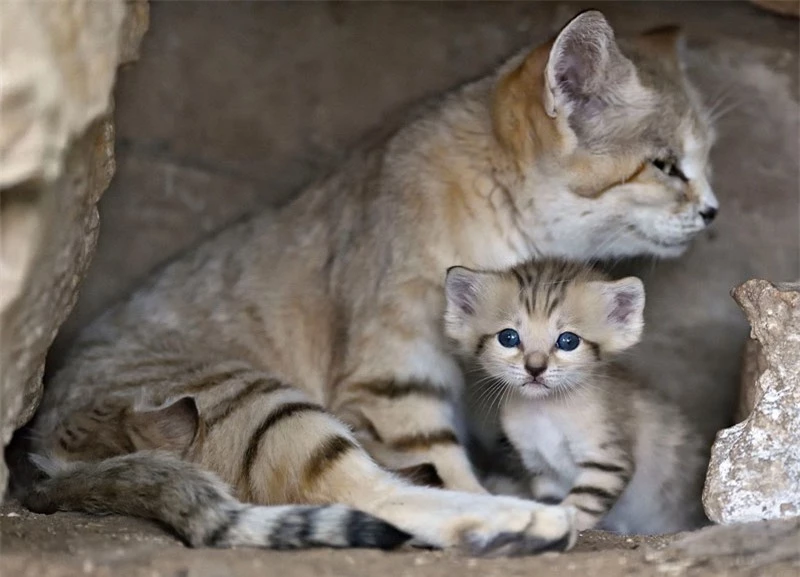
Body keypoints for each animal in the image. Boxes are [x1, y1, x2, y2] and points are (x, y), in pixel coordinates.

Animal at [444, 258, 708, 532]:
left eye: (568, 341)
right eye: (508, 337)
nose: (535, 368)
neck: (545, 413)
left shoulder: (608, 461)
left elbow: (582, 502)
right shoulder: (541, 467)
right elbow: (551, 500)